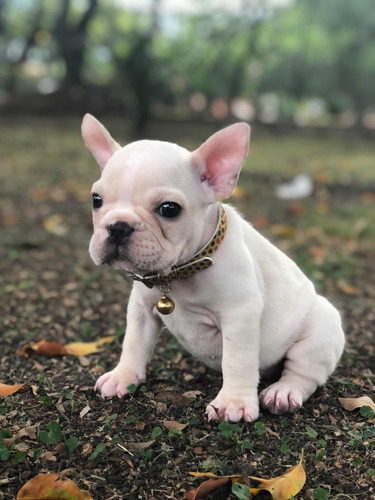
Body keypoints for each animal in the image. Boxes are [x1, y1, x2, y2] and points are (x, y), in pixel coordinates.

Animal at [82, 115, 346, 424]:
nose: (118, 226)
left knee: (303, 374)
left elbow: (237, 360)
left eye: (169, 209)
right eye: (96, 200)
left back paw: (282, 392)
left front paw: (233, 403)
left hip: (320, 334)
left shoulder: (239, 314)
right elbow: (133, 343)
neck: (179, 272)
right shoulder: (141, 309)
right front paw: (123, 376)